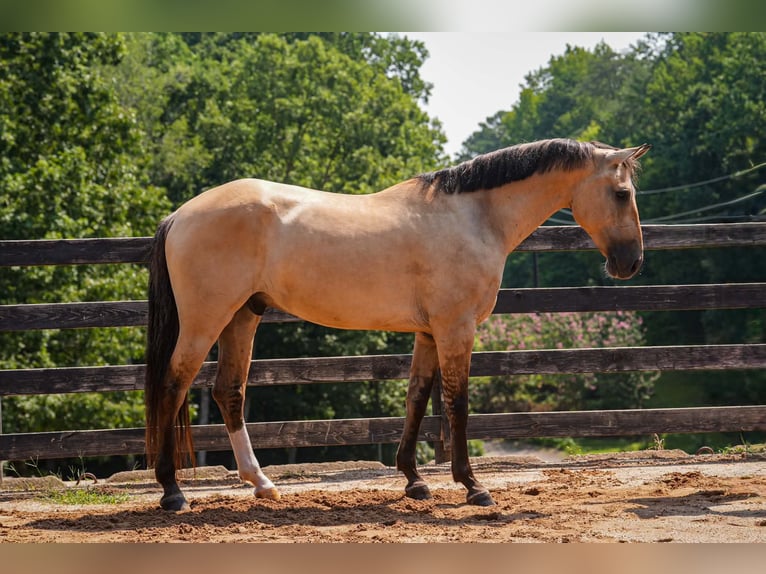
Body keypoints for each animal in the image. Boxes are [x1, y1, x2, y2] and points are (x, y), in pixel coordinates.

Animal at [144, 138, 650, 511]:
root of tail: (180, 214)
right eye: (622, 194)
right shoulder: (455, 328)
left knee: (228, 392)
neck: (473, 216)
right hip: (206, 319)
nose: (631, 263)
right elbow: (457, 404)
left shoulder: (428, 332)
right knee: (173, 384)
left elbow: (417, 398)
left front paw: (413, 480)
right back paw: (173, 492)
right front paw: (473, 486)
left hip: (242, 315)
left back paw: (262, 484)